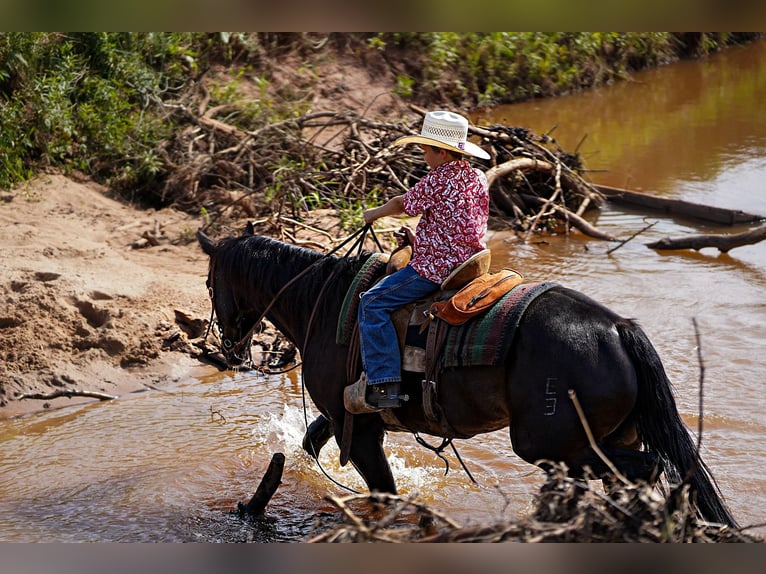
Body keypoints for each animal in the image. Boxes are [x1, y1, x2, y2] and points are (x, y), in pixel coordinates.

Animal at [198, 227, 736, 528]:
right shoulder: (344, 416)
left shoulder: (363, 430)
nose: (228, 346)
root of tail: (619, 329)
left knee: (645, 469)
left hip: (551, 444)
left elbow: (384, 491)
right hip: (603, 437)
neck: (323, 304)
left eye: (208, 282)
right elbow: (310, 444)